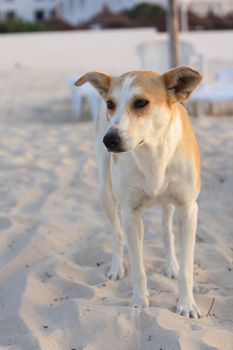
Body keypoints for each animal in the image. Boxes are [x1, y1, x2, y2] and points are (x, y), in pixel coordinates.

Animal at [76, 66, 202, 320]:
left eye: (141, 102)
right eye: (110, 104)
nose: (110, 140)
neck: (151, 152)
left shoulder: (188, 209)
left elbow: (186, 268)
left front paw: (186, 305)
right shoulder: (130, 214)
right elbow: (138, 268)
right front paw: (140, 302)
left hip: (169, 204)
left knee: (166, 232)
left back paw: (171, 266)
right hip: (105, 192)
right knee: (117, 233)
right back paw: (116, 267)